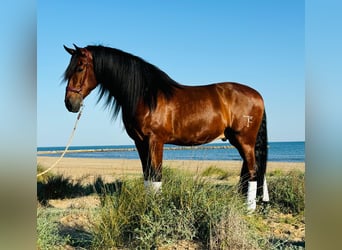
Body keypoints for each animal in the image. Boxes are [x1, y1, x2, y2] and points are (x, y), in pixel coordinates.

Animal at [62, 44, 268, 209]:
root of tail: (257, 95)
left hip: (245, 140)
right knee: (252, 169)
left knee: (252, 171)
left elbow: (156, 175)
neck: (145, 96)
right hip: (239, 141)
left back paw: (249, 209)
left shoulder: (155, 141)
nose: (70, 103)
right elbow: (147, 175)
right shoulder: (140, 142)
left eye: (79, 67)